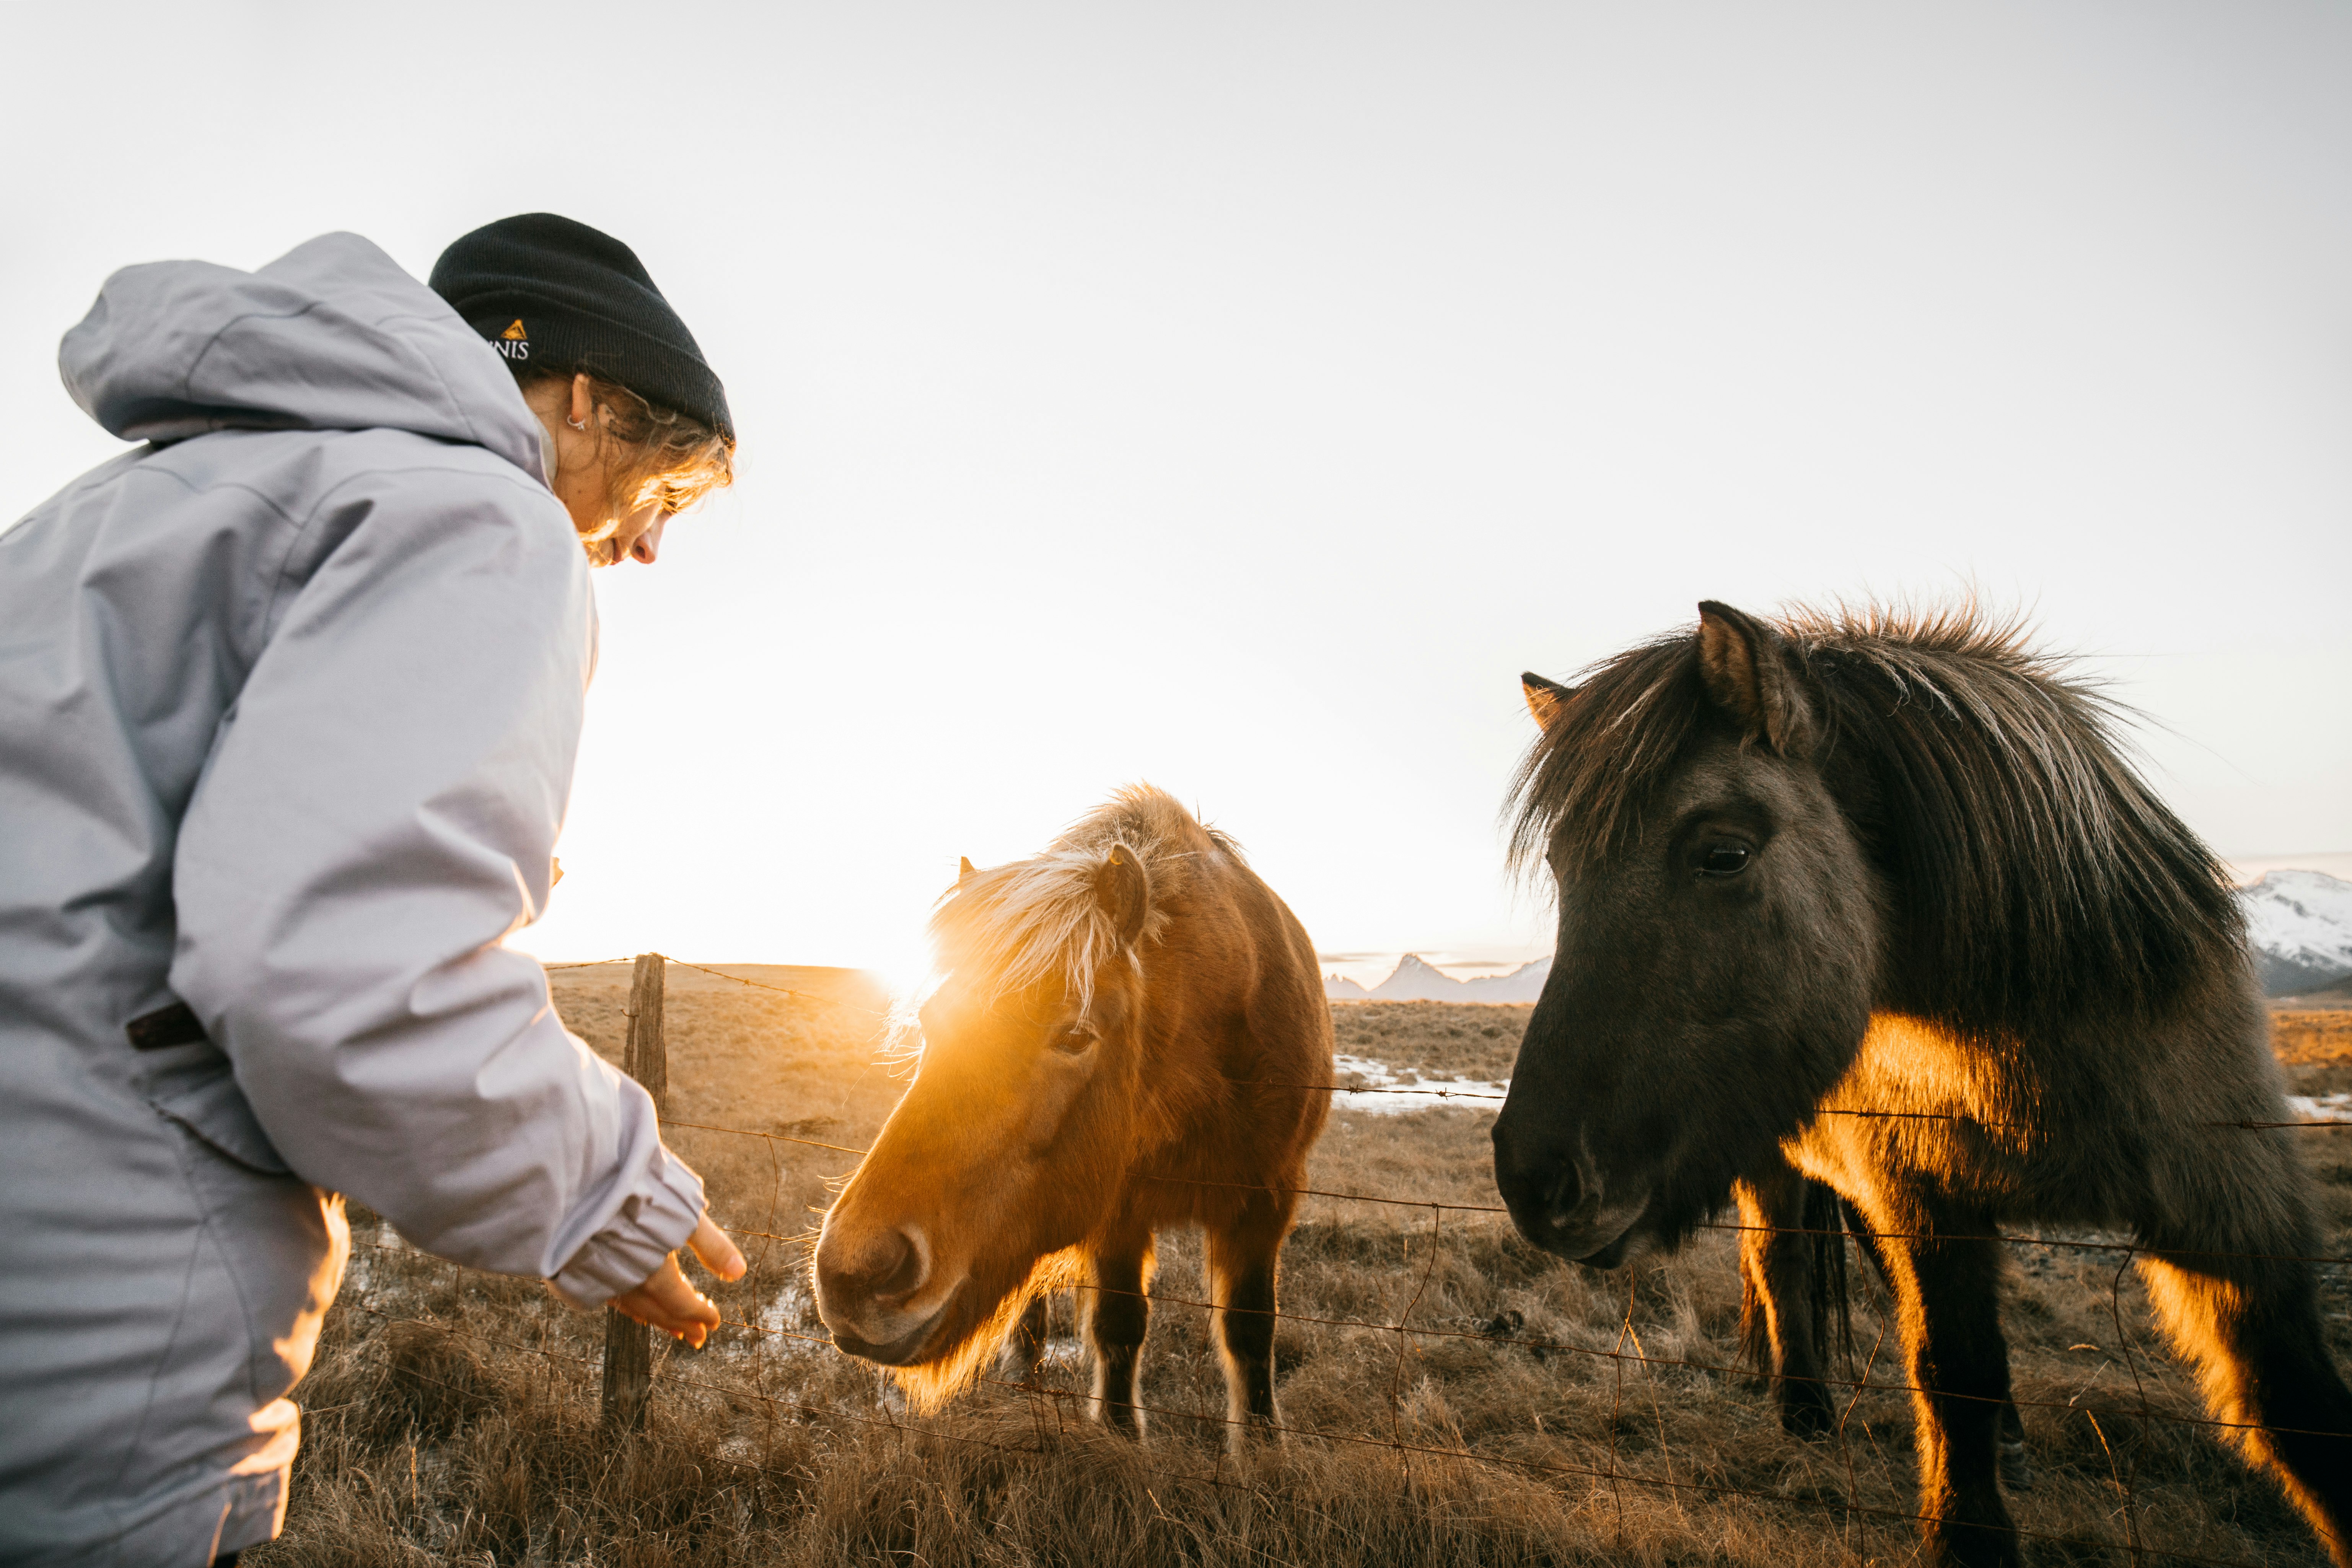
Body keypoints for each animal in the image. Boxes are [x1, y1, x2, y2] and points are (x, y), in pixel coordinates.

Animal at [814, 785, 1336, 1448]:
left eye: (1076, 1034)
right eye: (932, 1023)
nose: (854, 1273)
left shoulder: (1266, 1199)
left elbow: (1250, 1327)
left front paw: (1263, 1444)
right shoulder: (1118, 1206)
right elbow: (1119, 1324)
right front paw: (1120, 1432)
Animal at [1496, 606, 2342, 1568]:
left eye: (1723, 853)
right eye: (1561, 867)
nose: (1537, 1182)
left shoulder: (2235, 1210)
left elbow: (2299, 1412)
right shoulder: (1928, 1203)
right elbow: (1949, 1370)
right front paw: (1963, 1526)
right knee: (1780, 1260)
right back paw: (1803, 1405)